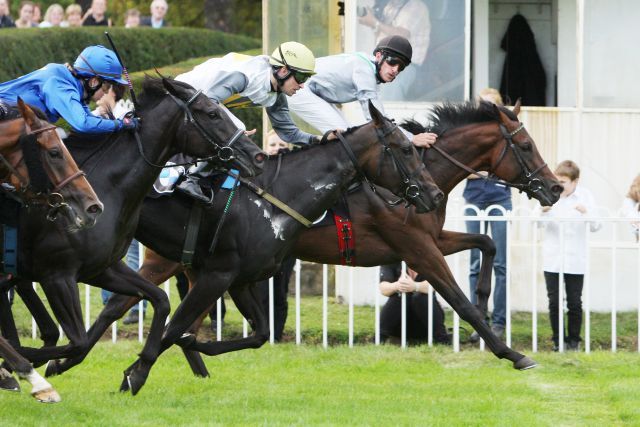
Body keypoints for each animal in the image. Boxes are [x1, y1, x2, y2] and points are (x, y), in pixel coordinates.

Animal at [0, 76, 264, 392]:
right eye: (213, 114)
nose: (257, 155)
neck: (108, 188)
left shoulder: (101, 268)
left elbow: (159, 302)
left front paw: (137, 373)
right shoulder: (57, 274)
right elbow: (76, 340)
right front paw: (27, 365)